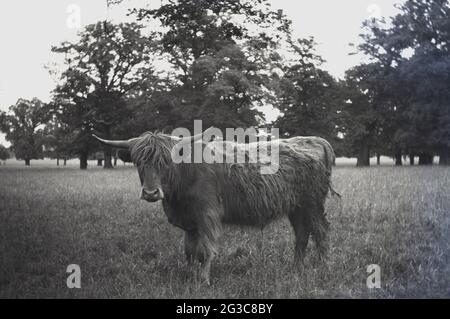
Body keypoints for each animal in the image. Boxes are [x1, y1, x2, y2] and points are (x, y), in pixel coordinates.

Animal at [93, 130, 332, 284]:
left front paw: (204, 281)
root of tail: (314, 140)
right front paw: (189, 275)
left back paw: (323, 268)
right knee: (302, 234)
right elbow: (189, 251)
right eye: (138, 162)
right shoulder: (190, 223)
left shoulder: (207, 215)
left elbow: (205, 250)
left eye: (167, 162)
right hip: (297, 207)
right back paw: (297, 268)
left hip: (312, 204)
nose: (150, 193)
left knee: (320, 232)